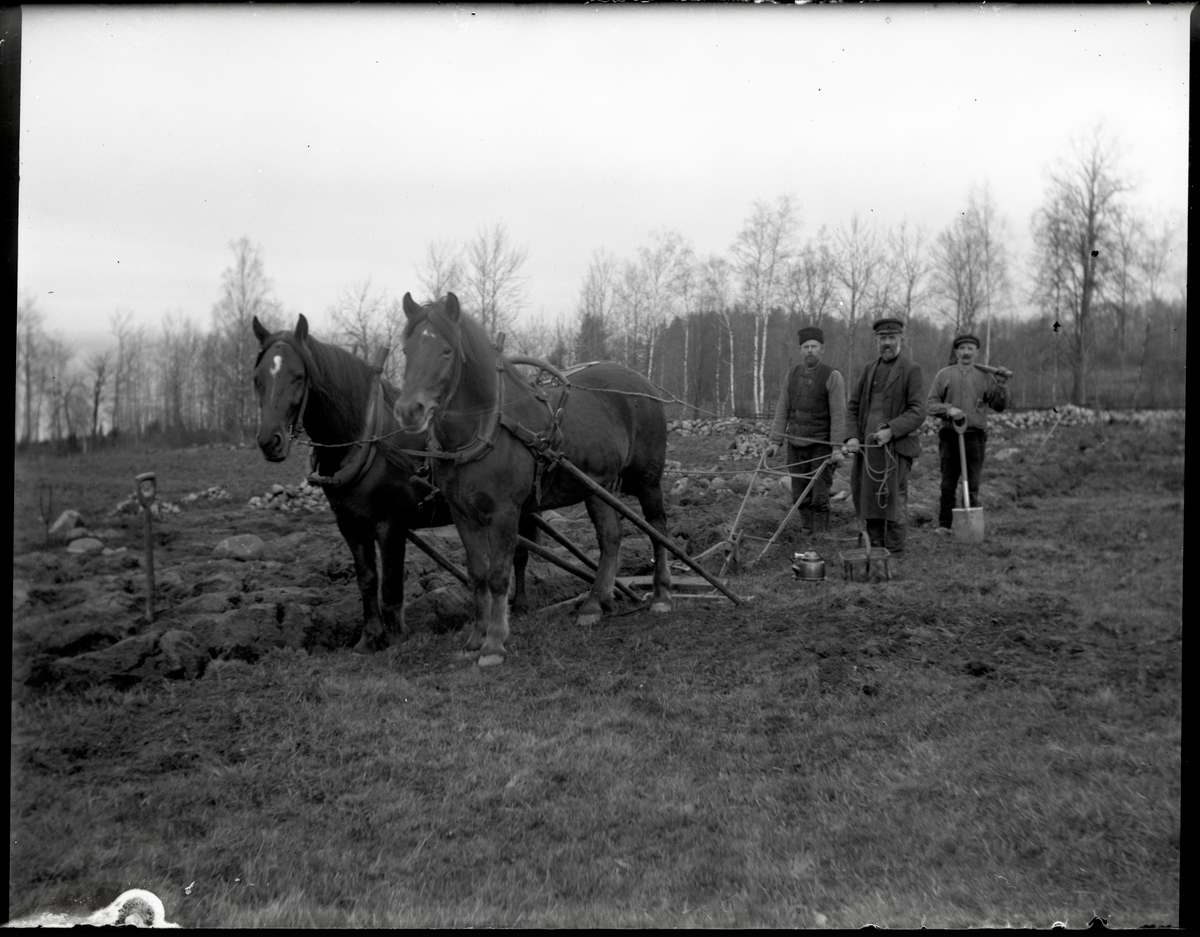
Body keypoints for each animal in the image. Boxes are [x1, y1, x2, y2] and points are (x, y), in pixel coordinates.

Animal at [251, 314, 539, 652]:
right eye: (257, 378)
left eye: (298, 376)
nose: (270, 441)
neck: (365, 439)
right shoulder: (350, 524)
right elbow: (367, 580)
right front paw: (369, 638)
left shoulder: (391, 524)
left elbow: (391, 586)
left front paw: (397, 637)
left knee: (520, 554)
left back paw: (521, 604)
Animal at [392, 292, 673, 667]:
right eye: (406, 350)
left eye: (446, 350)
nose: (409, 411)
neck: (487, 428)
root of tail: (644, 383)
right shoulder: (462, 513)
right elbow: (477, 574)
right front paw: (475, 638)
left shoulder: (505, 512)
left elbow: (499, 576)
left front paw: (494, 643)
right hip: (597, 487)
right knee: (611, 537)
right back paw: (595, 603)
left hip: (647, 479)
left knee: (657, 527)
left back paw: (660, 595)